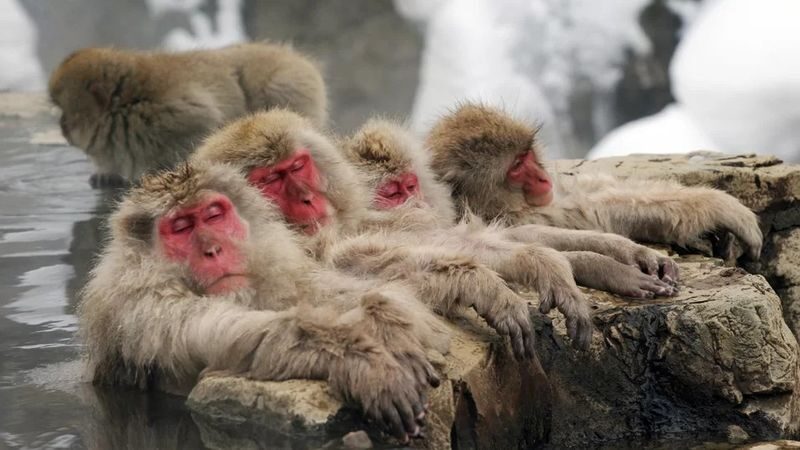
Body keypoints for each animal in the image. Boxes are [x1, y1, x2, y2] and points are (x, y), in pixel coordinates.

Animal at [48, 42, 327, 188]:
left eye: (65, 112)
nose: (62, 127)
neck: (129, 105)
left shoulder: (177, 114)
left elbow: (204, 125)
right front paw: (106, 173)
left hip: (287, 85)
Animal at [79, 161, 450, 442]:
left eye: (213, 216)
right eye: (181, 227)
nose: (213, 249)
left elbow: (324, 291)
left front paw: (387, 321)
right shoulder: (144, 307)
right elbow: (222, 335)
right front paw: (360, 358)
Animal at [340, 118, 679, 299]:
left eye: (410, 186)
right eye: (392, 193)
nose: (418, 203)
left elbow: (513, 236)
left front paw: (623, 251)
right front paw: (607, 270)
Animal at [426, 102, 763, 262]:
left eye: (526, 155)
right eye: (516, 168)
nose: (541, 177)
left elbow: (593, 198)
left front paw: (717, 203)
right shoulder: (516, 216)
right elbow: (587, 213)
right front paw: (718, 207)